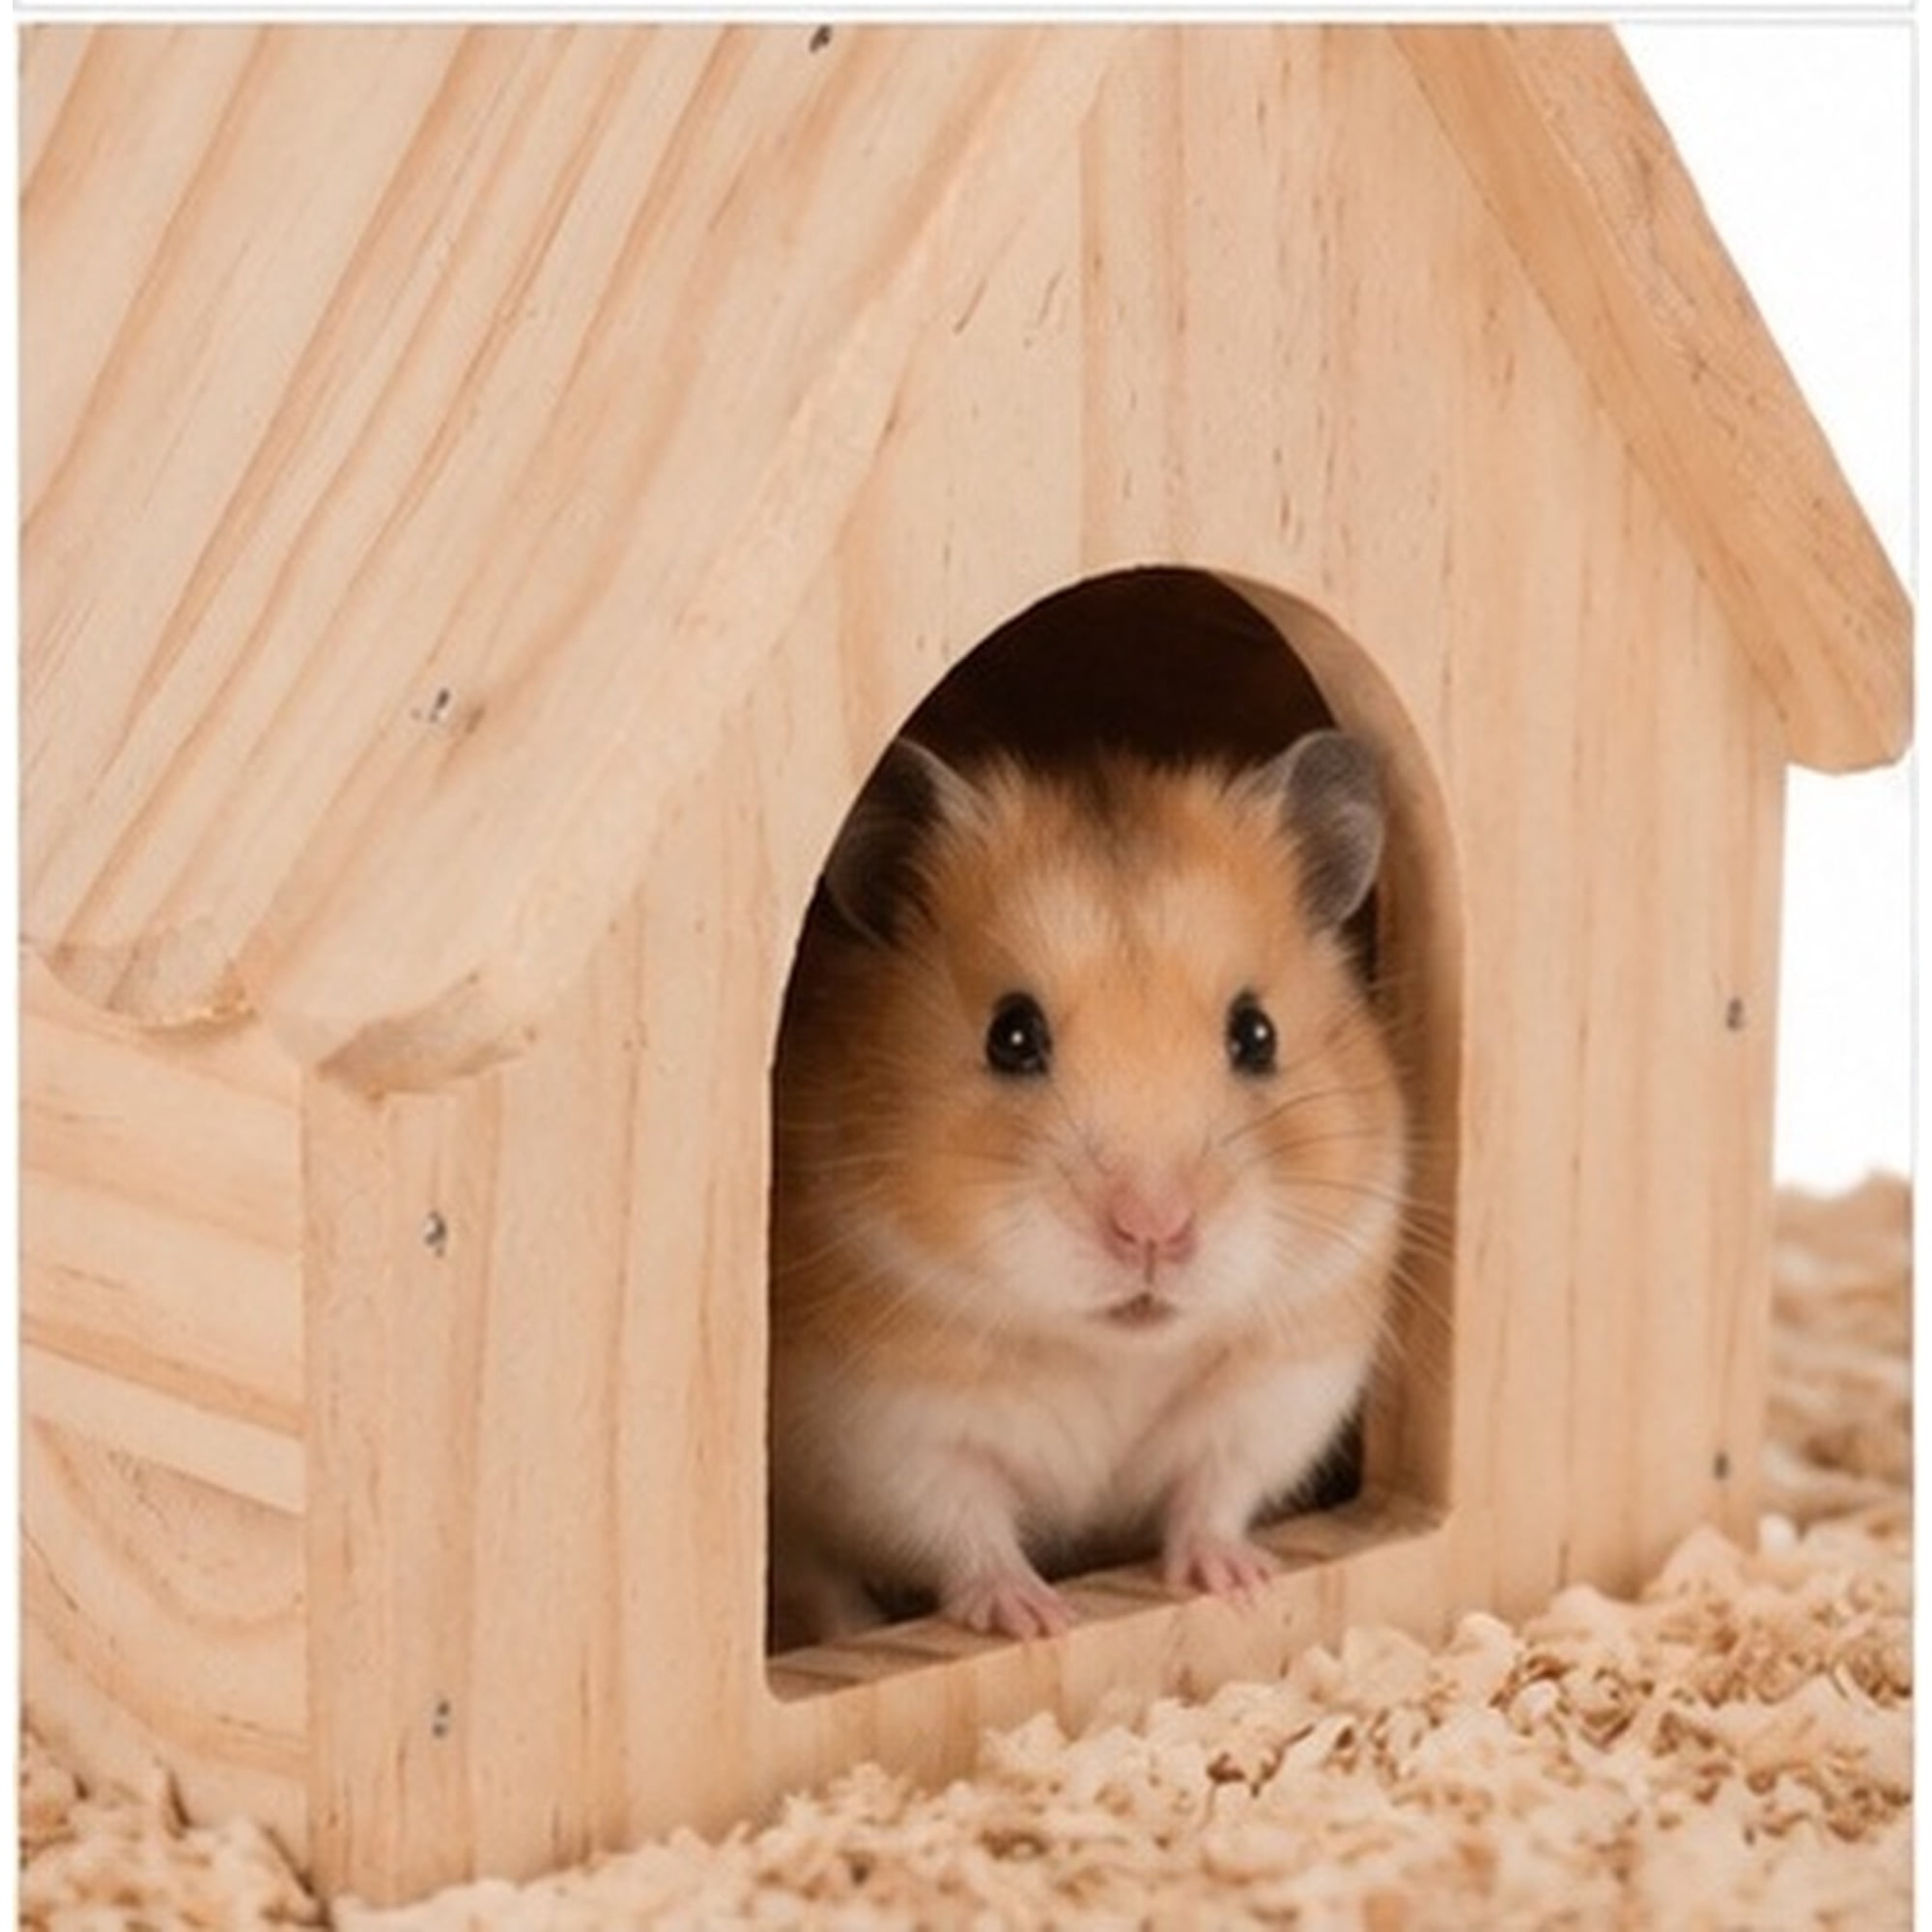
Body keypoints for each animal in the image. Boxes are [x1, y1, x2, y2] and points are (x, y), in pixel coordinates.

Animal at [768, 730, 1407, 1651]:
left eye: (1256, 1033)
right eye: (1010, 1034)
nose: (1153, 1230)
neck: (1111, 1351)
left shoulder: (1277, 1388)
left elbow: (1215, 1494)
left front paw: (1242, 1585)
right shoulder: (891, 1437)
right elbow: (963, 1528)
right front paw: (1037, 1620)